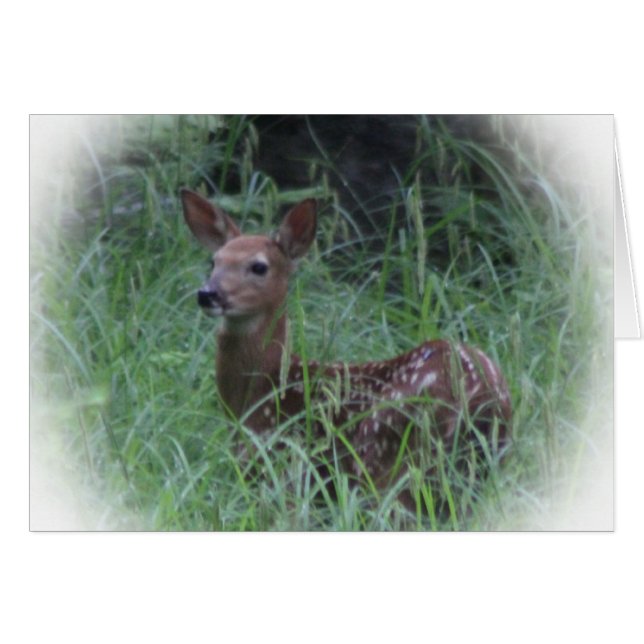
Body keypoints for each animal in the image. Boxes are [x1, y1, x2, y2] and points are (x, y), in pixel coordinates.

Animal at [180, 188, 512, 496]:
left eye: (259, 266)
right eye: (214, 262)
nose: (207, 294)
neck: (264, 388)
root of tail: (482, 396)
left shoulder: (280, 459)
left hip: (386, 451)